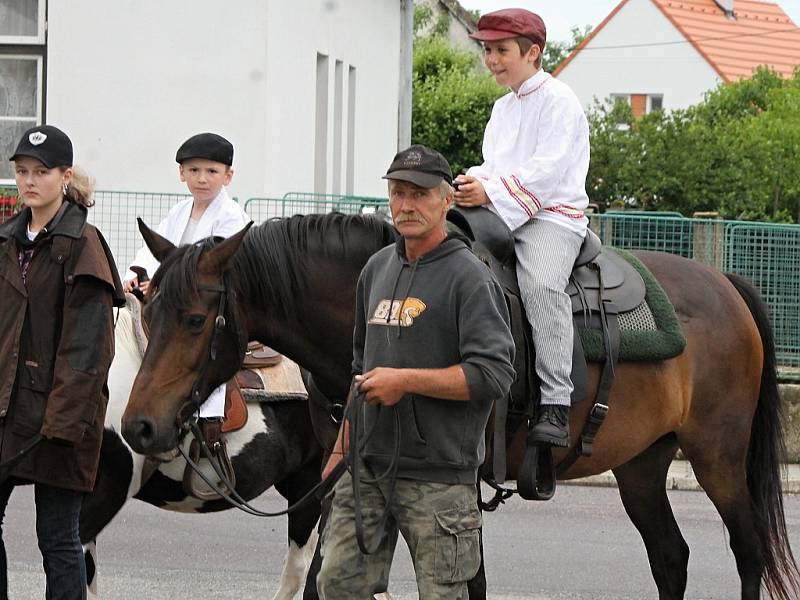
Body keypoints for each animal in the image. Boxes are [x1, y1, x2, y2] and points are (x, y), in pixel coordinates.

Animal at [122, 213, 796, 596]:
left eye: (194, 318)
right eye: (147, 311)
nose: (139, 426)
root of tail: (724, 284)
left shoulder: (455, 486)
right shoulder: (344, 479)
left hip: (718, 459)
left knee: (749, 552)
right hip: (642, 463)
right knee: (670, 558)